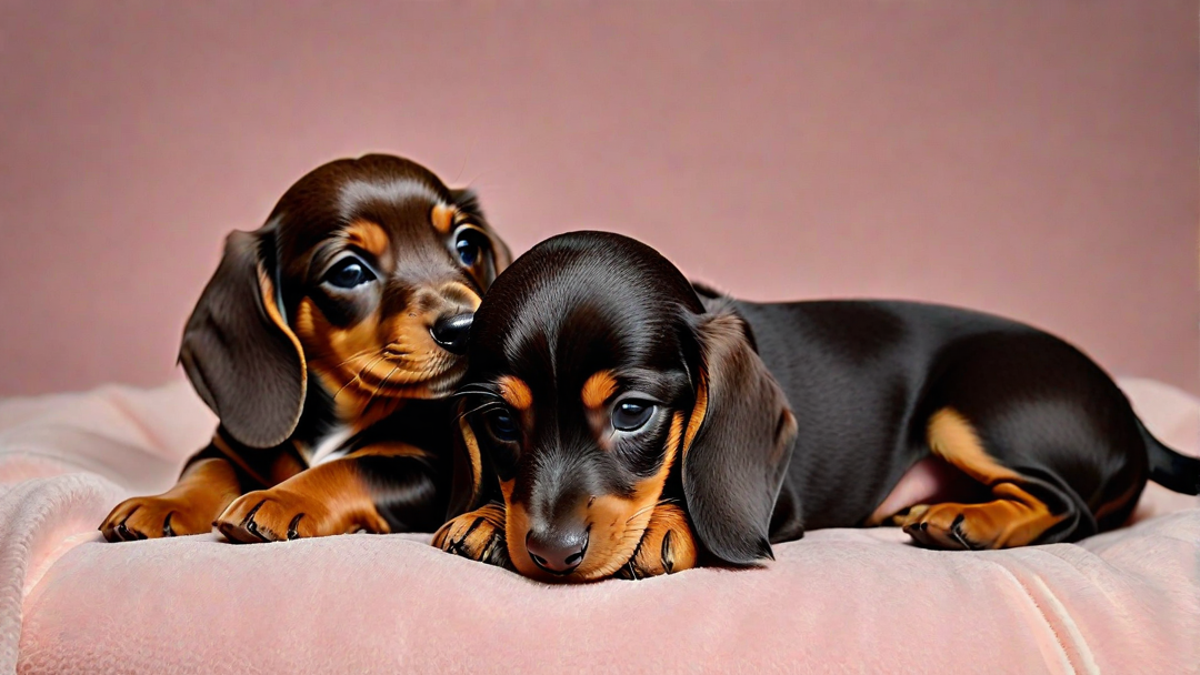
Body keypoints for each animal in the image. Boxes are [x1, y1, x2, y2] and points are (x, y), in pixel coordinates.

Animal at [100, 153, 508, 540]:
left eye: (467, 245)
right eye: (349, 272)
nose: (465, 328)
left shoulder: (423, 468)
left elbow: (348, 466)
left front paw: (280, 498)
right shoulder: (229, 448)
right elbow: (208, 468)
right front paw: (162, 503)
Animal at [439, 229, 1200, 578]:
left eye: (631, 413)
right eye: (501, 422)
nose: (550, 552)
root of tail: (1132, 414)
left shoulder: (784, 506)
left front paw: (668, 523)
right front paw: (484, 515)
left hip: (975, 410)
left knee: (1071, 510)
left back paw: (968, 520)